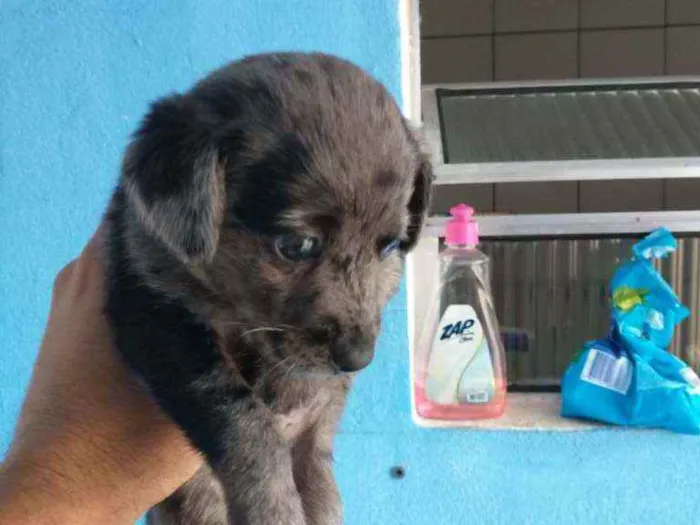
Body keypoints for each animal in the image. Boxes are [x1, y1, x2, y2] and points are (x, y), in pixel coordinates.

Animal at [104, 50, 432, 524]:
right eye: (297, 245)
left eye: (389, 246)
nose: (358, 359)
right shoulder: (152, 312)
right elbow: (241, 420)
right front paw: (271, 504)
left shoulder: (317, 414)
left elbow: (318, 473)